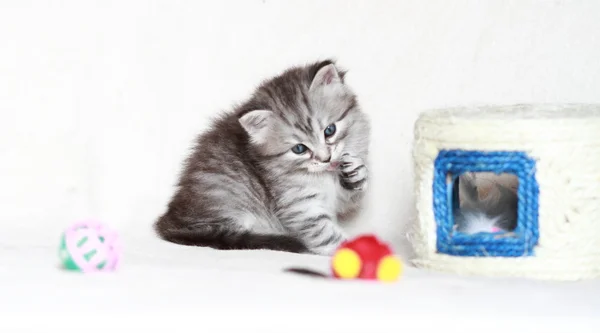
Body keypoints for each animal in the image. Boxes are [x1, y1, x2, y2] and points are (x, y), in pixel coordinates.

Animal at [154, 59, 370, 254]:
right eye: (299, 149)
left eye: (329, 130)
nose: (326, 159)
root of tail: (169, 220)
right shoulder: (299, 206)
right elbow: (324, 233)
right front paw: (352, 252)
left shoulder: (337, 200)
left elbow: (350, 195)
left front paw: (356, 172)